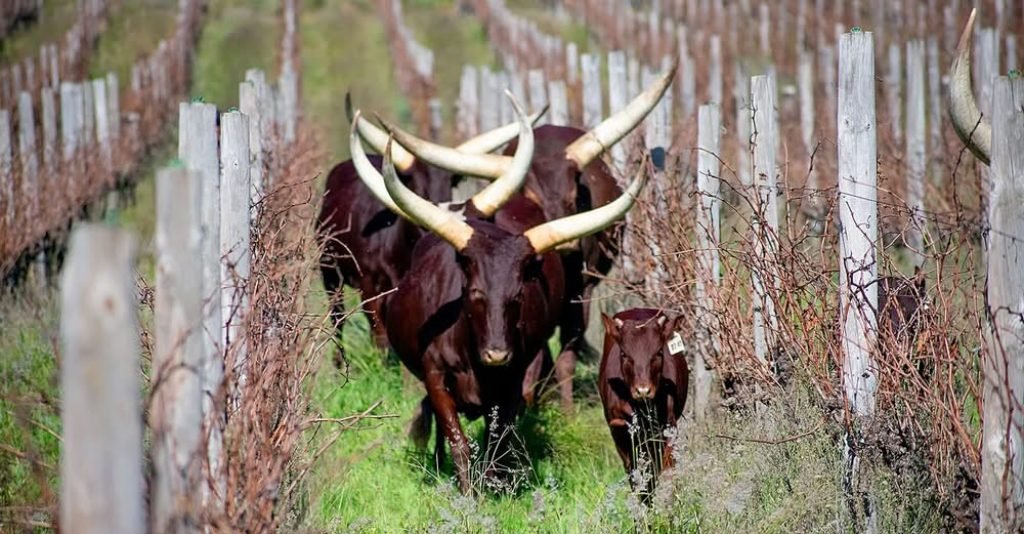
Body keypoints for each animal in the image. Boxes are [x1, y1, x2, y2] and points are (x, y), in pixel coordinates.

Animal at [346, 96, 647, 491]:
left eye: (518, 295)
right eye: (474, 292)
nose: (497, 354)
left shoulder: (511, 381)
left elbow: (497, 437)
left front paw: (496, 482)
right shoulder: (436, 378)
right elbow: (457, 440)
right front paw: (467, 493)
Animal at [360, 59, 679, 407]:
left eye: (574, 196)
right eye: (531, 196)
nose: (567, 245)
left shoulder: (582, 286)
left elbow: (568, 347)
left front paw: (566, 408)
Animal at [598, 305, 692, 498]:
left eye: (658, 352)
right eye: (624, 354)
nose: (643, 390)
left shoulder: (668, 427)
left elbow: (667, 469)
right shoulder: (620, 434)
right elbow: (636, 477)